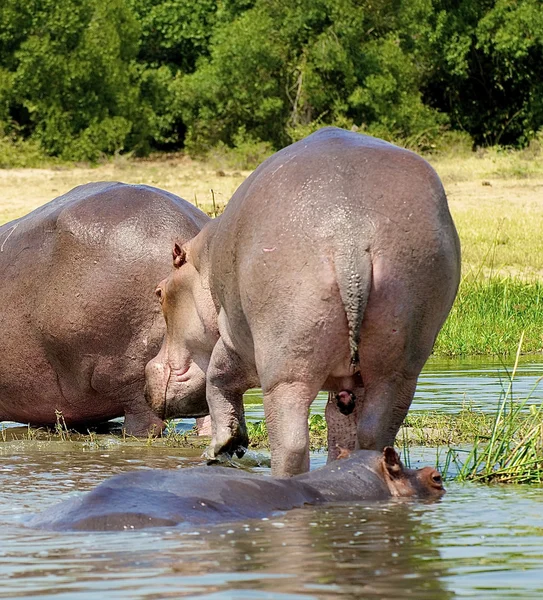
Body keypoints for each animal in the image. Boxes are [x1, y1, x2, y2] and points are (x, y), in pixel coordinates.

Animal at [147, 126, 462, 474]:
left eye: (159, 293)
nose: (145, 382)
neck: (203, 263)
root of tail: (350, 235)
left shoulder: (233, 339)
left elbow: (217, 380)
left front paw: (223, 448)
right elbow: (339, 422)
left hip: (285, 366)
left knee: (291, 440)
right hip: (400, 360)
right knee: (374, 431)